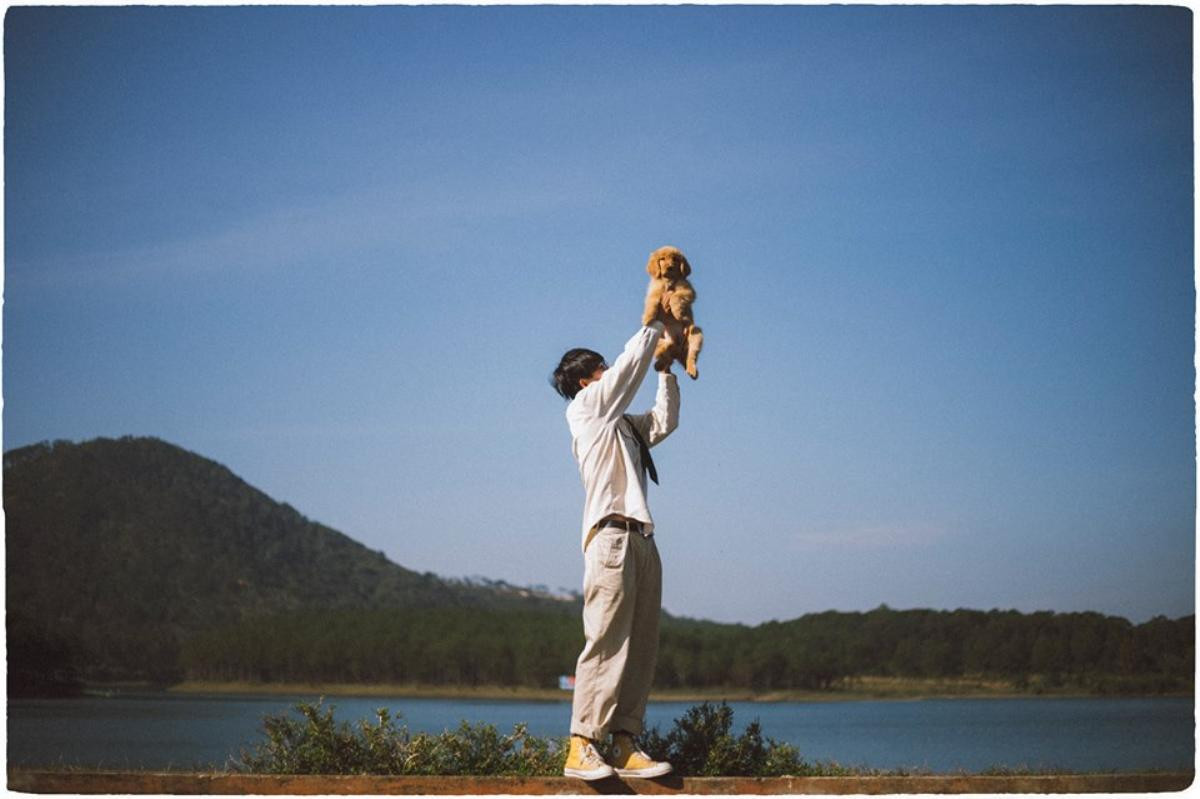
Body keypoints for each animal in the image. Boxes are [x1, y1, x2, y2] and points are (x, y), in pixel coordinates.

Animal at [643, 244, 700, 379]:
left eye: (675, 259)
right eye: (662, 259)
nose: (670, 267)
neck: (668, 281)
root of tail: (679, 352)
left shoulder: (687, 290)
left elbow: (675, 296)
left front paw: (678, 312)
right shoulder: (655, 290)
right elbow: (652, 300)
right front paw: (647, 317)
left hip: (695, 332)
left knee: (691, 356)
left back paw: (692, 370)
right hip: (657, 340)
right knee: (666, 354)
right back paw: (659, 364)